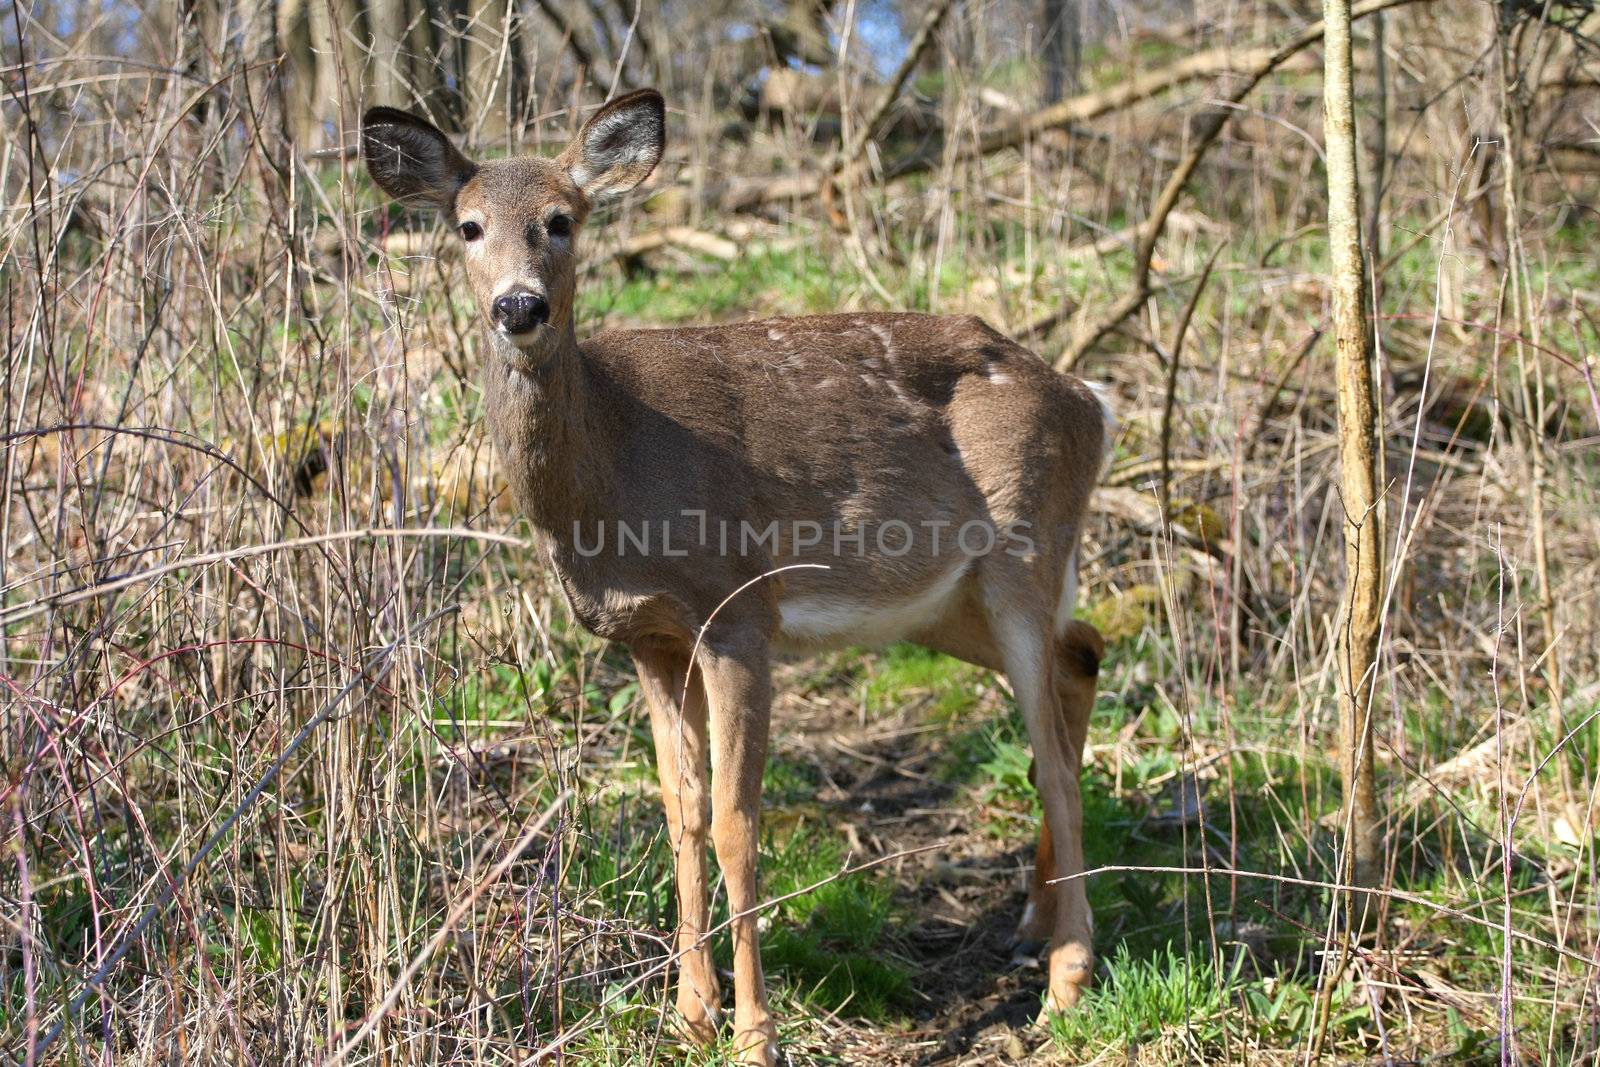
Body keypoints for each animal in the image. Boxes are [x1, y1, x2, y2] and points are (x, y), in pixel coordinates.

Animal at [363, 89, 1113, 1062]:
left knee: (1054, 753)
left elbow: (735, 823)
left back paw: (1067, 978)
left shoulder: (738, 612)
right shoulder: (647, 636)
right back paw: (1031, 921)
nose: (518, 305)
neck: (616, 470)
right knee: (1081, 655)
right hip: (948, 601)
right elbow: (680, 814)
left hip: (1025, 547)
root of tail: (1090, 399)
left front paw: (755, 1030)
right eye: (467, 225)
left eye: (562, 219)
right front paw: (691, 1010)